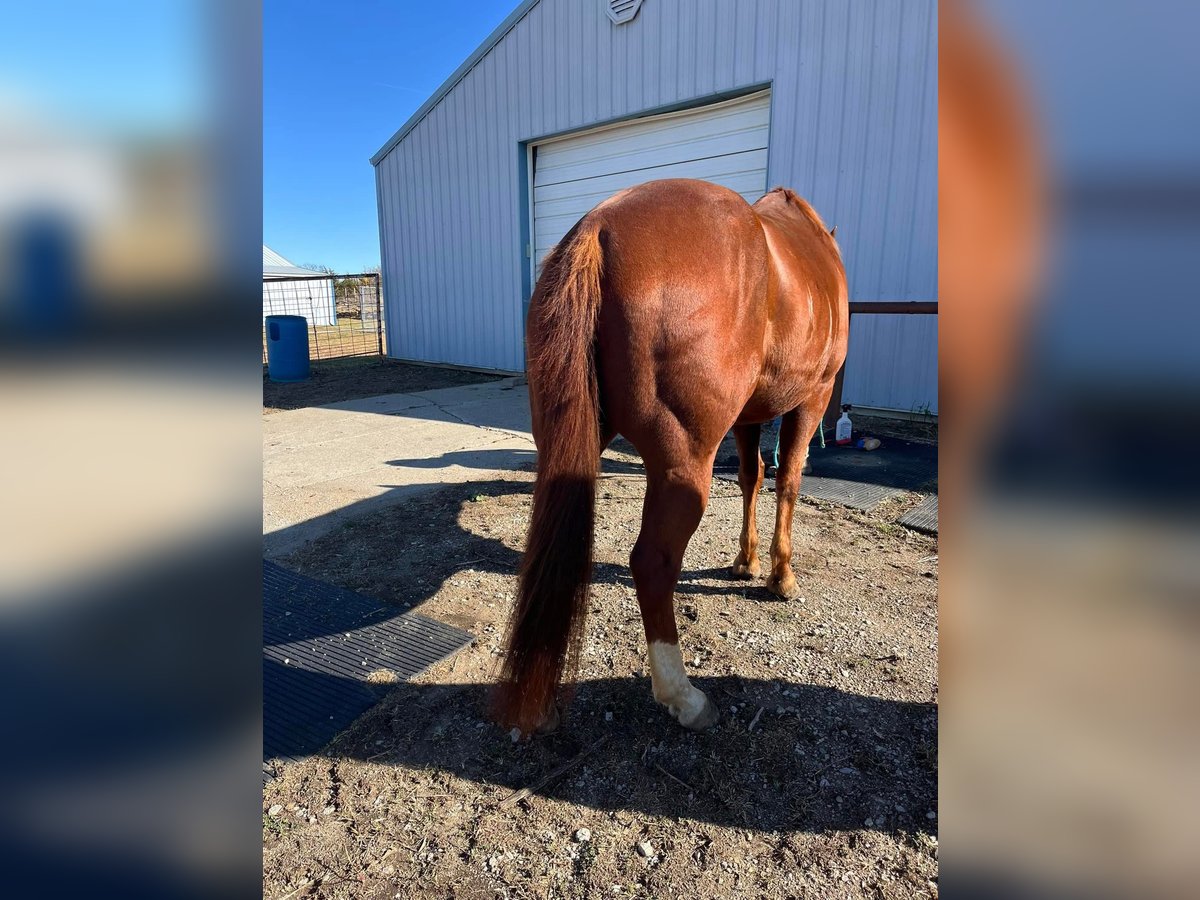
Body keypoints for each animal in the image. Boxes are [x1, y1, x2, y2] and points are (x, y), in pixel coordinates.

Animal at [492, 180, 849, 734]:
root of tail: (598, 227)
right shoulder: (812, 397)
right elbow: (788, 479)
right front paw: (780, 576)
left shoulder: (748, 415)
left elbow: (751, 478)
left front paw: (745, 562)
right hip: (685, 463)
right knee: (652, 564)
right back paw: (684, 696)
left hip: (565, 445)